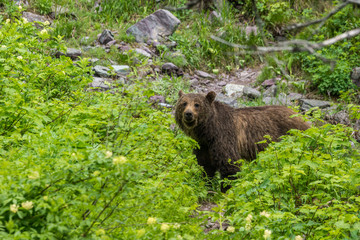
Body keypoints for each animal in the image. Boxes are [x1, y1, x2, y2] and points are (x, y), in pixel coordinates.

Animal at [174, 90, 310, 191]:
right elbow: (205, 166)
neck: (208, 131)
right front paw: (208, 186)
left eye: (197, 104)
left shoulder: (224, 137)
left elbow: (229, 164)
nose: (188, 114)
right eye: (184, 103)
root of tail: (300, 115)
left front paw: (226, 190)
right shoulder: (203, 146)